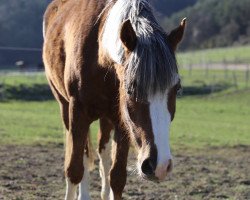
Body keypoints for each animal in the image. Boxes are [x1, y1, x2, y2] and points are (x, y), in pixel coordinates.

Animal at [42, 0, 186, 198]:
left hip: (106, 118)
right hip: (65, 108)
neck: (99, 53)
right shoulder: (78, 113)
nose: (160, 166)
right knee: (84, 155)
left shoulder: (121, 121)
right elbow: (74, 170)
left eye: (176, 88)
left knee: (103, 151)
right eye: (130, 89)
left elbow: (117, 178)